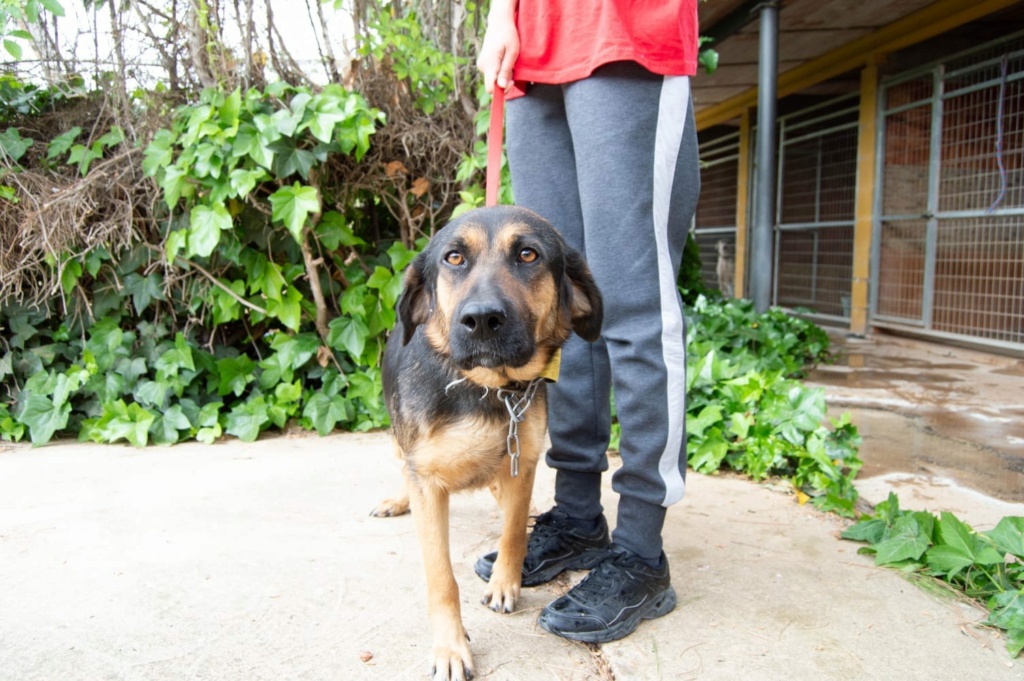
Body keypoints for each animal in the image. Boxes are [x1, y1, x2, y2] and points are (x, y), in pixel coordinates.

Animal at [372, 205, 602, 679]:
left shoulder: (523, 462)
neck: (488, 389)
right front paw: (450, 647)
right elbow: (441, 577)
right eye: (454, 258)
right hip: (399, 440)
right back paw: (397, 500)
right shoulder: (427, 481)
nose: (482, 320)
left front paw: (504, 584)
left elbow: (513, 533)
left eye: (528, 254)